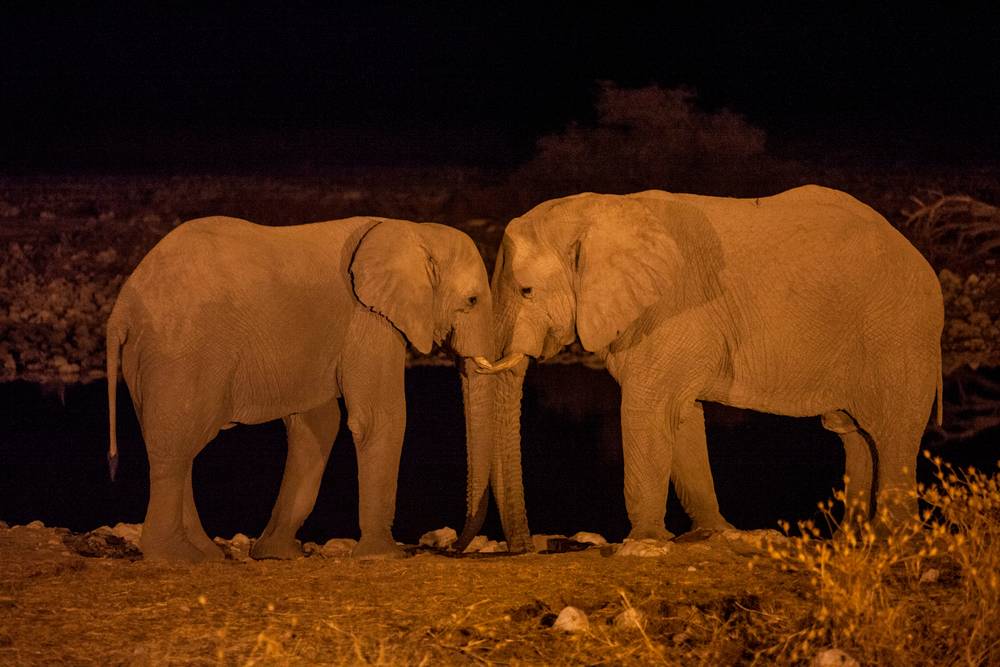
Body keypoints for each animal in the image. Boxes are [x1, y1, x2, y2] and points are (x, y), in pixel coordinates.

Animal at [106, 217, 496, 560]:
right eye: (472, 300)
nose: (451, 548)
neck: (413, 230)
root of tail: (121, 309)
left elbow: (318, 424)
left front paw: (278, 554)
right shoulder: (368, 320)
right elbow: (378, 418)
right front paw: (383, 555)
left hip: (148, 359)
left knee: (174, 442)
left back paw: (207, 554)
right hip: (182, 352)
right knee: (178, 441)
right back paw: (176, 557)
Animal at [472, 185, 940, 552]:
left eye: (526, 290)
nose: (524, 549)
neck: (599, 210)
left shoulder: (672, 312)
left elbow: (647, 409)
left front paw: (643, 544)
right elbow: (680, 415)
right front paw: (712, 534)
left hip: (900, 335)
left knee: (892, 433)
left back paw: (894, 543)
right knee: (855, 434)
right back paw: (854, 542)